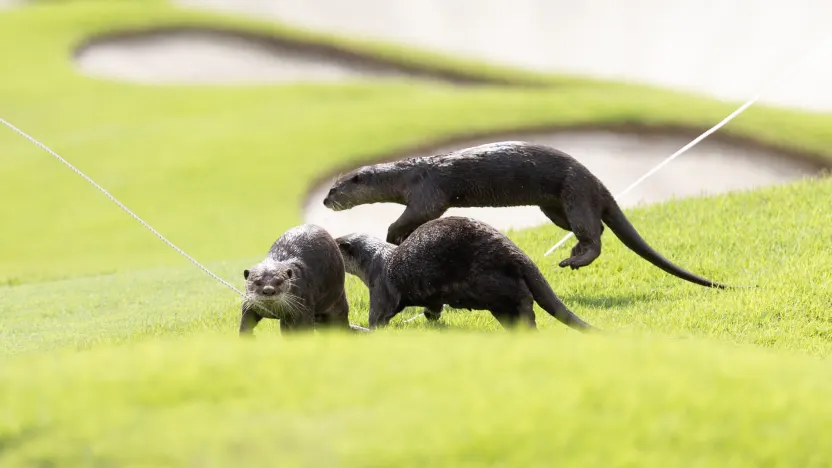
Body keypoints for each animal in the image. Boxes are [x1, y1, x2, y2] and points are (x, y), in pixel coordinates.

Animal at [322, 140, 732, 288]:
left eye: (334, 189)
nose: (325, 201)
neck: (410, 173)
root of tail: (596, 180)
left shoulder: (428, 192)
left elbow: (412, 216)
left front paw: (395, 235)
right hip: (553, 206)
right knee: (595, 226)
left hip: (574, 194)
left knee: (593, 233)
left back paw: (573, 260)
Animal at [334, 217, 596, 332]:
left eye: (335, 242)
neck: (377, 261)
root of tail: (514, 251)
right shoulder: (429, 295)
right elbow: (433, 306)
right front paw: (430, 317)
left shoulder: (380, 287)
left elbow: (377, 318)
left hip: (489, 283)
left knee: (523, 300)